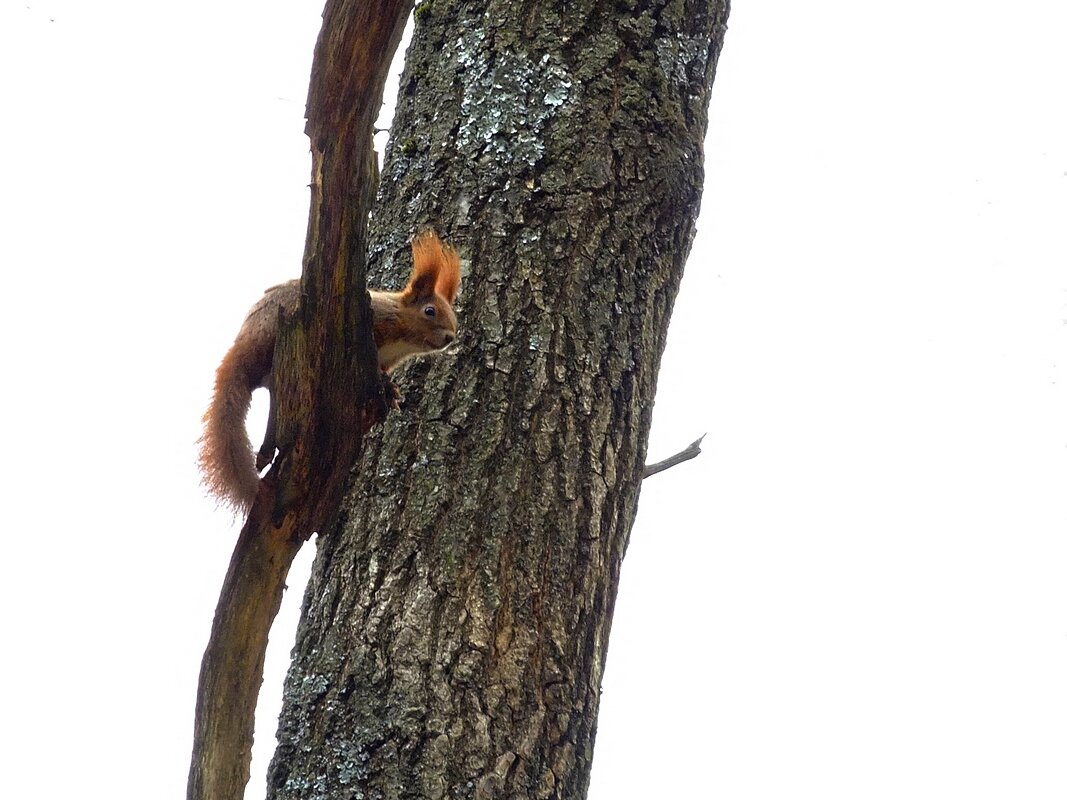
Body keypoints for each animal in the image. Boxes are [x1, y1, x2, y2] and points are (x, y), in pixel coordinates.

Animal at [200, 231, 458, 516]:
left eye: (453, 316)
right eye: (430, 311)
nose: (450, 337)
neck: (402, 338)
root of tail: (243, 349)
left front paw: (390, 390)